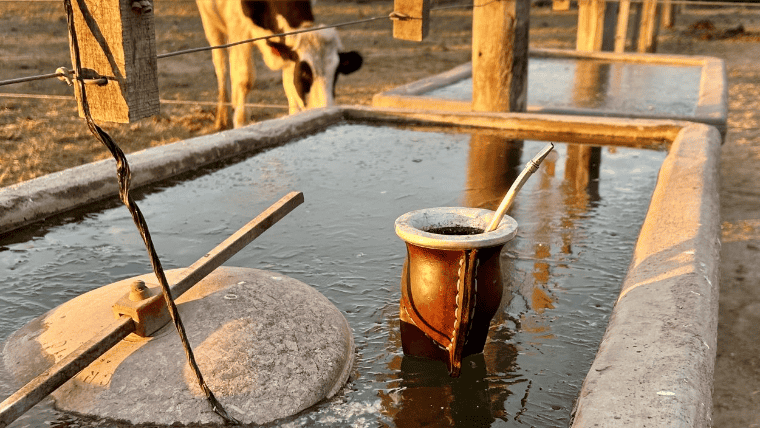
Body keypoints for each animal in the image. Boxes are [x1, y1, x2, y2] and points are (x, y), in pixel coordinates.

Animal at [196, 0, 362, 129]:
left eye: (336, 73)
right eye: (304, 73)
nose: (324, 109)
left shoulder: (288, 55)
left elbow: (289, 86)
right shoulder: (239, 30)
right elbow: (245, 80)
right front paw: (241, 123)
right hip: (210, 21)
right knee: (222, 66)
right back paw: (223, 118)